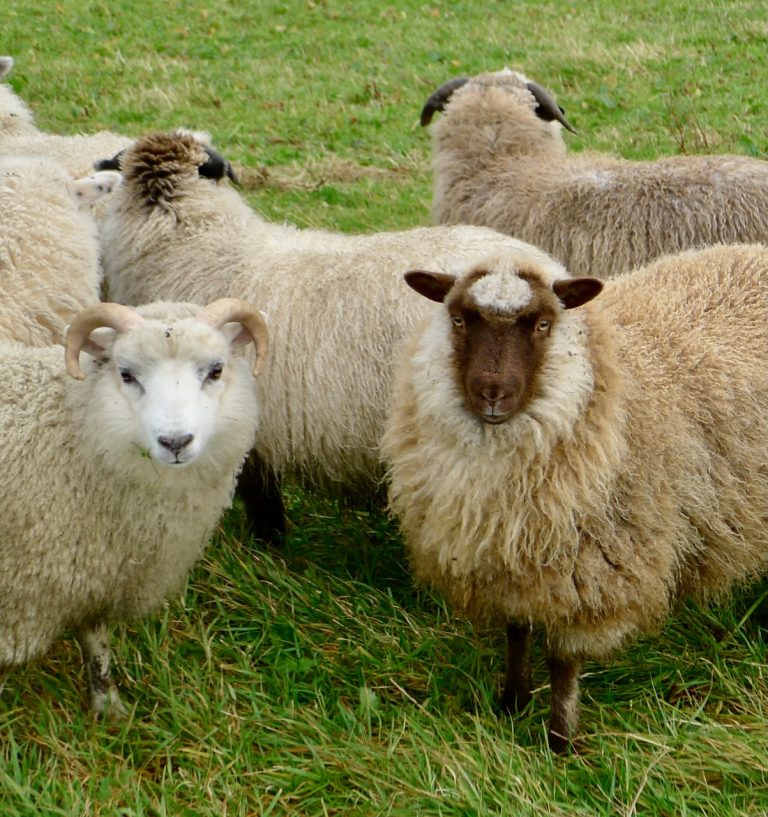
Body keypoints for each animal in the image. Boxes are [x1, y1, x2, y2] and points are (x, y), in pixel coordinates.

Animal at [0, 297, 268, 715]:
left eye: (216, 370)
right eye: (126, 374)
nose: (175, 442)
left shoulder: (96, 576)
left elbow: (96, 642)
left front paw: (108, 707)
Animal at [381, 243, 768, 752]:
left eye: (544, 323)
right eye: (460, 318)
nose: (491, 393)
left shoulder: (590, 571)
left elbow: (563, 664)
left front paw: (559, 742)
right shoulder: (513, 558)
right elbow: (516, 631)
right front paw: (511, 702)